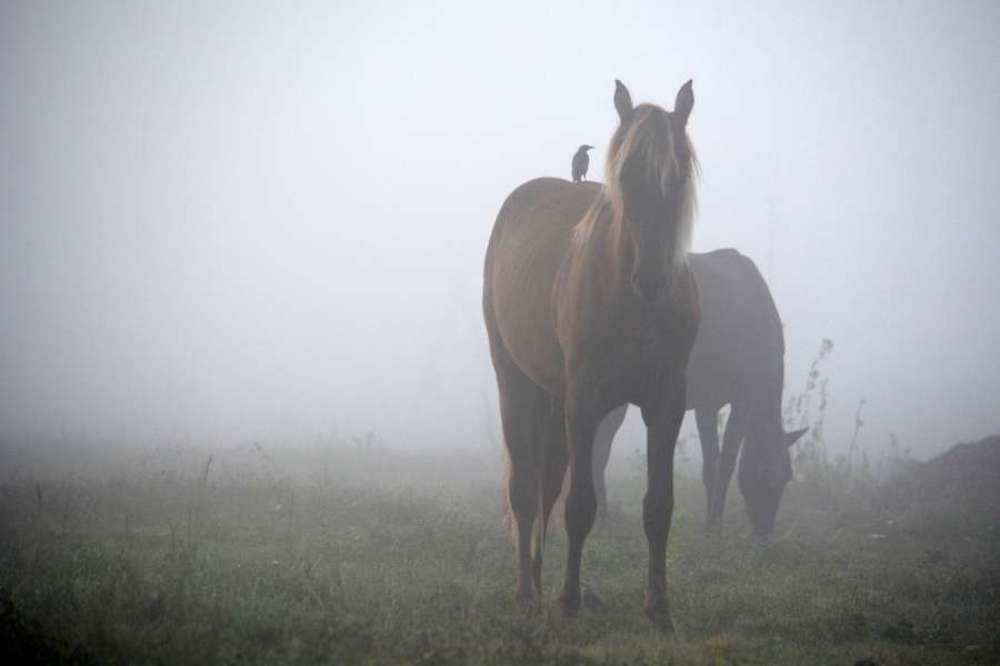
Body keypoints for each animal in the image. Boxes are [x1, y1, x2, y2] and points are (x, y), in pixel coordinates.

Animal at [483, 79, 699, 628]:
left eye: (679, 176)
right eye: (624, 174)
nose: (652, 280)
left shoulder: (666, 405)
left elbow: (659, 507)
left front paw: (659, 606)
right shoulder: (584, 403)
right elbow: (580, 505)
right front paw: (568, 600)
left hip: (554, 401)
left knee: (546, 488)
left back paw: (539, 582)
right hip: (515, 382)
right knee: (525, 490)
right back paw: (527, 594)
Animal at [591, 249, 809, 542]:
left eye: (788, 476)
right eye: (767, 474)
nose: (765, 536)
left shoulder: (707, 402)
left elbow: (710, 465)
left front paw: (709, 524)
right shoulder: (743, 396)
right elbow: (726, 463)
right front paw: (715, 526)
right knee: (598, 450)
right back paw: (601, 518)